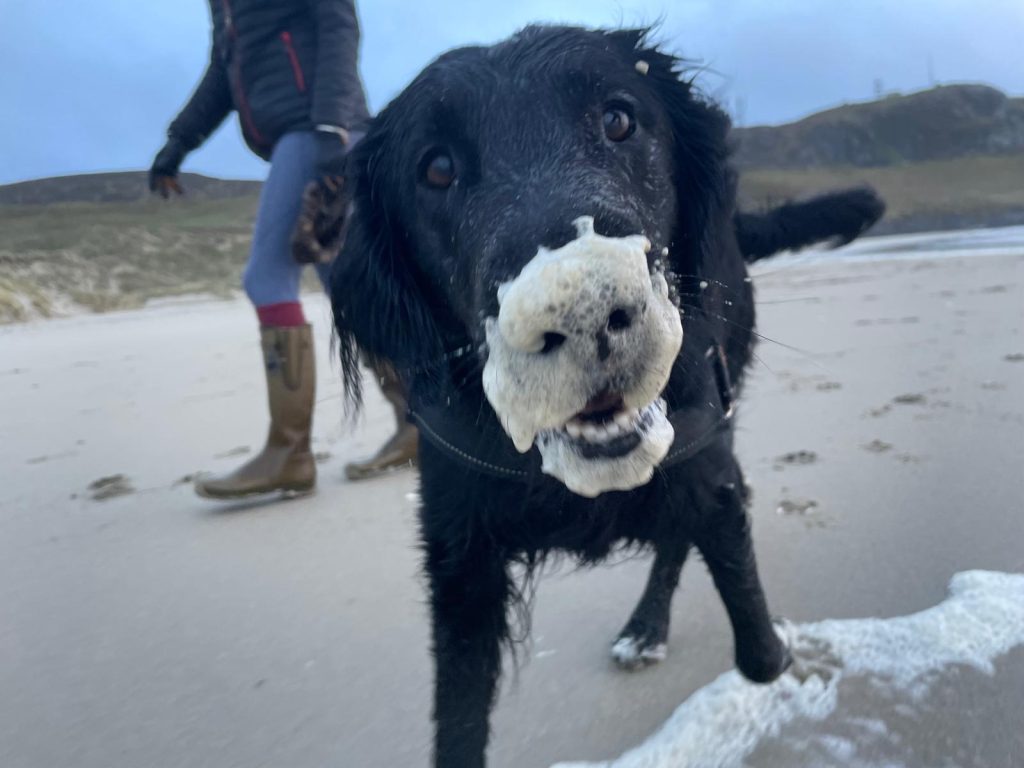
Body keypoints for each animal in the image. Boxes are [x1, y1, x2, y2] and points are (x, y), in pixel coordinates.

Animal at [331, 25, 884, 768]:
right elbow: (457, 726)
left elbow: (758, 643)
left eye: (619, 120)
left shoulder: (709, 466)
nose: (587, 311)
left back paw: (646, 627)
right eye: (436, 168)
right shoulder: (461, 566)